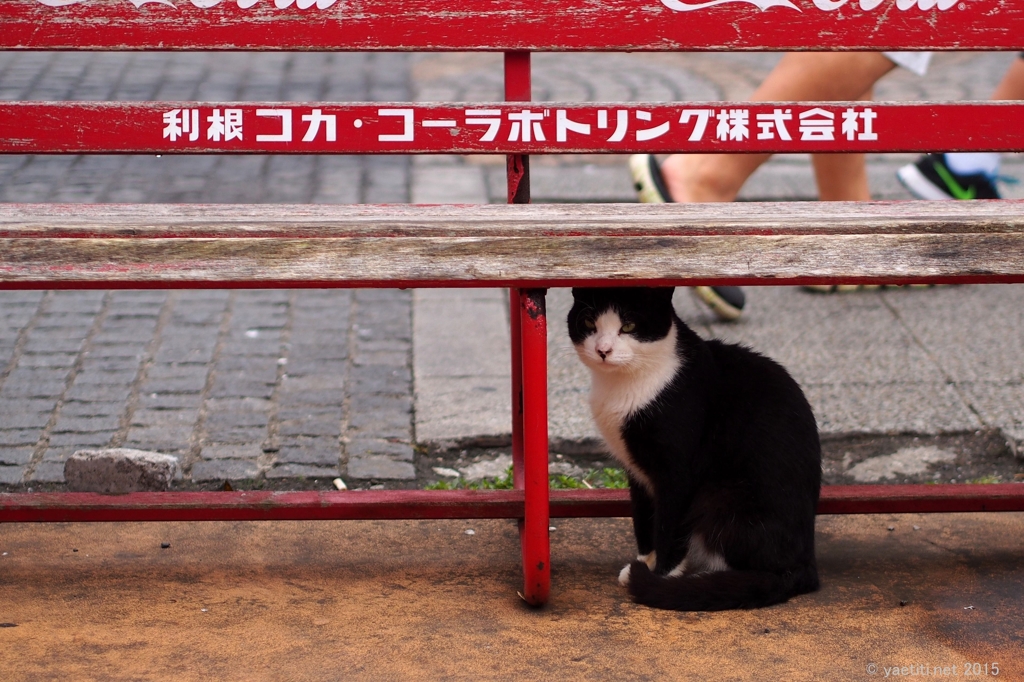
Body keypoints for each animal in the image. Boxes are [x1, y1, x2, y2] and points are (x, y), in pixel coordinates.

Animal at [569, 284, 823, 606]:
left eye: (628, 326)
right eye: (589, 322)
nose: (603, 350)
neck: (625, 386)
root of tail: (805, 565)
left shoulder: (677, 472)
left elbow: (668, 524)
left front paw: (660, 576)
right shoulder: (636, 470)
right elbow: (644, 519)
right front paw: (645, 561)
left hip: (719, 495)